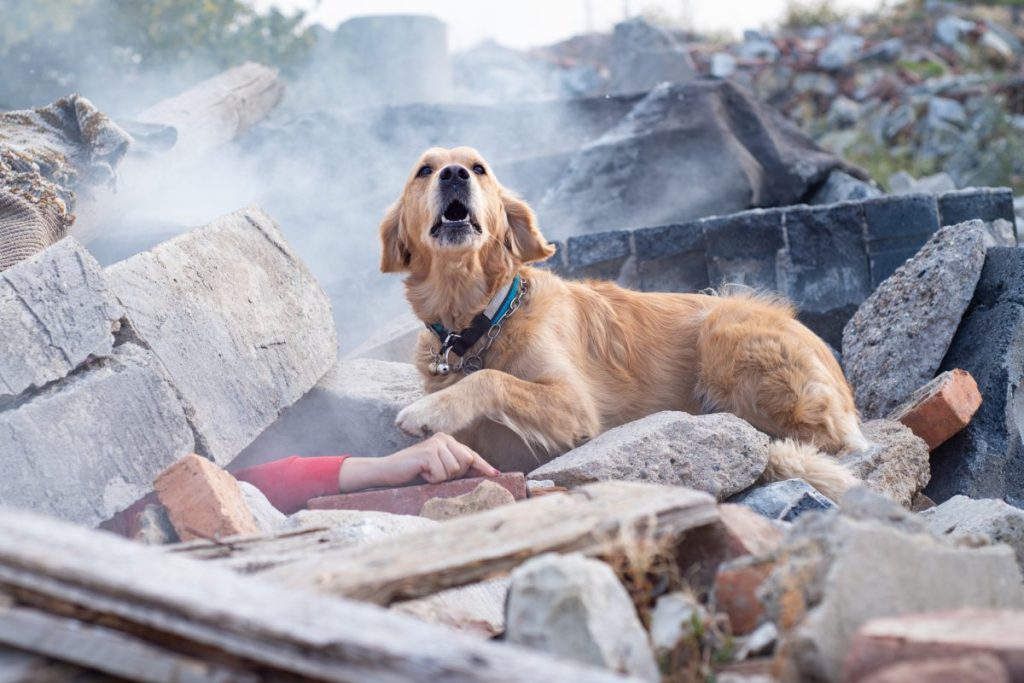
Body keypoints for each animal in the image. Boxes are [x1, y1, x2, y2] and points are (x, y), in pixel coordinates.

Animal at [380, 145, 868, 497]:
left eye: (478, 168)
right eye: (425, 170)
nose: (454, 174)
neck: (479, 321)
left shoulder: (577, 406)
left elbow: (492, 380)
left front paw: (428, 411)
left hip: (726, 327)